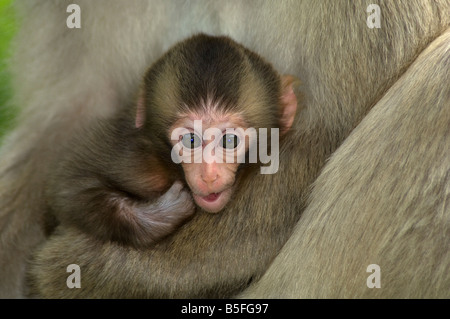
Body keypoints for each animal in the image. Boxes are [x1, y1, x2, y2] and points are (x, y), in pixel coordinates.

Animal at [48, 35, 298, 250]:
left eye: (229, 140)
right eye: (190, 140)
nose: (209, 175)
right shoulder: (134, 157)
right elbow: (71, 188)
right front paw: (163, 214)